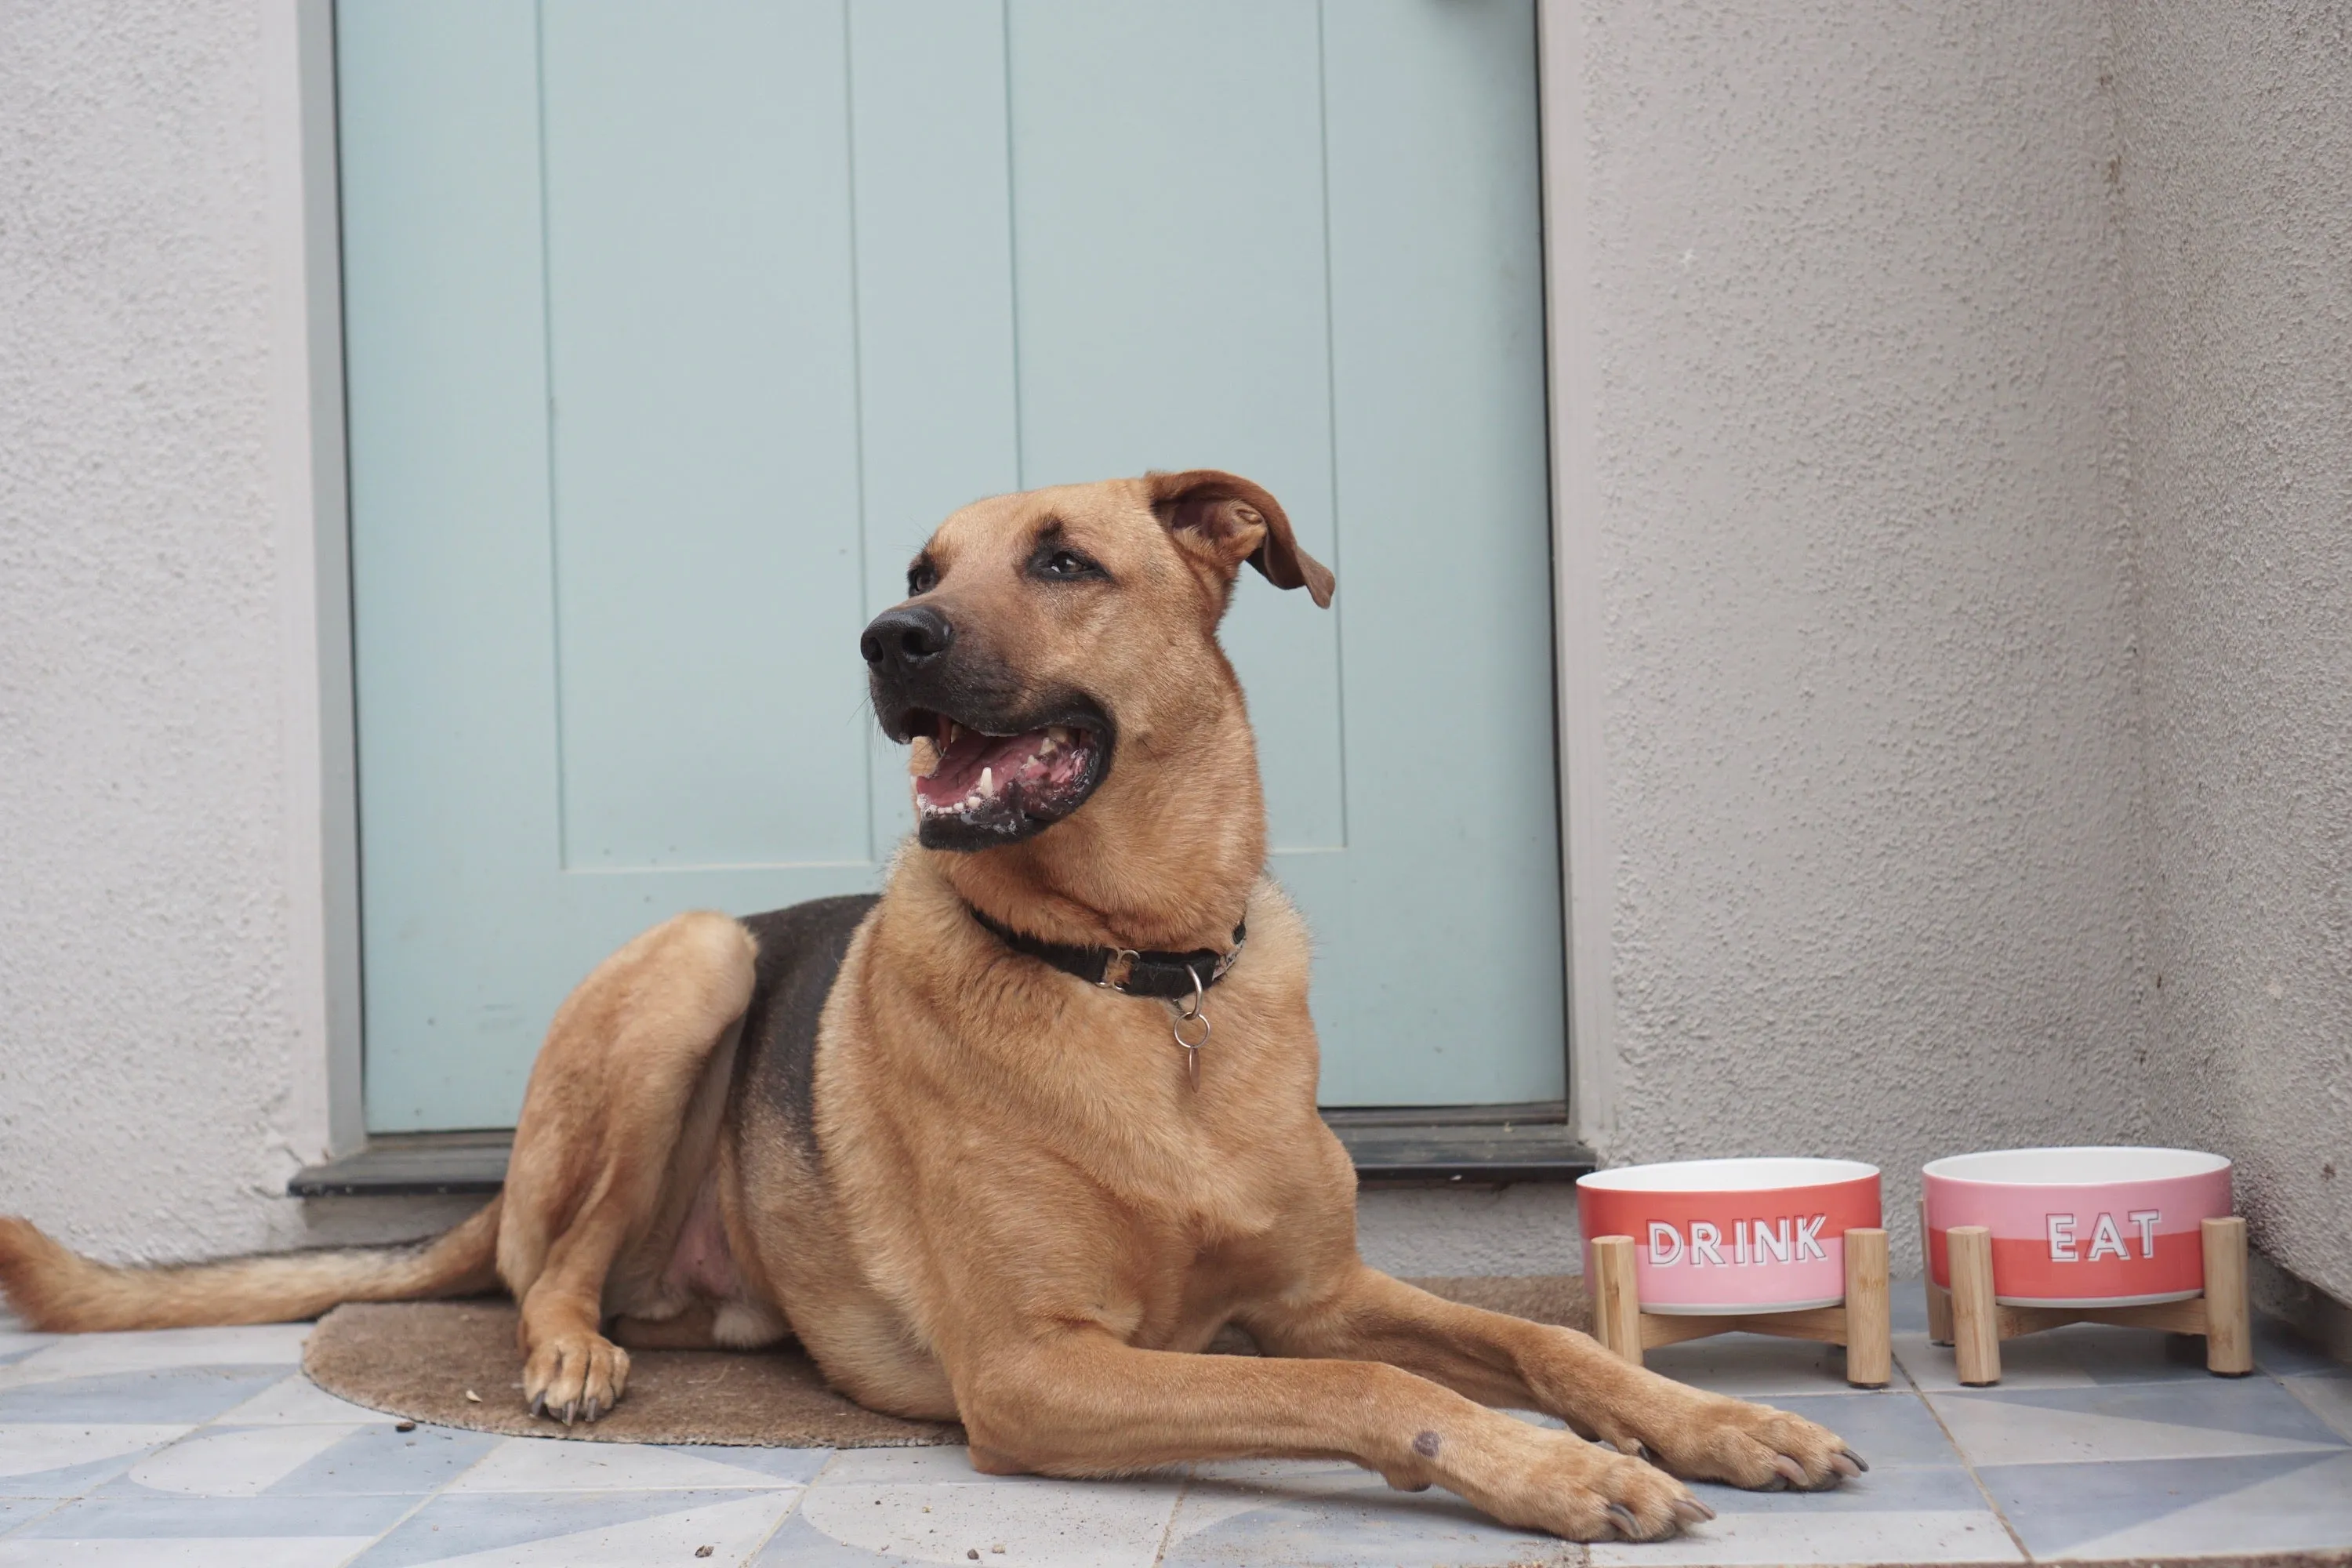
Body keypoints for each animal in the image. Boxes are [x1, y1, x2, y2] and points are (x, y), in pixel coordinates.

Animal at [9, 472, 1863, 1542]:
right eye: (924, 563)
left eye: (1065, 561)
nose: (884, 636)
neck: (1145, 984)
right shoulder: (1038, 1372)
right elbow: (1365, 1393)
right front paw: (1560, 1472)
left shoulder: (1311, 1291)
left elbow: (1542, 1337)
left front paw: (1716, 1420)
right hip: (698, 962)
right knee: (549, 1268)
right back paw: (575, 1354)